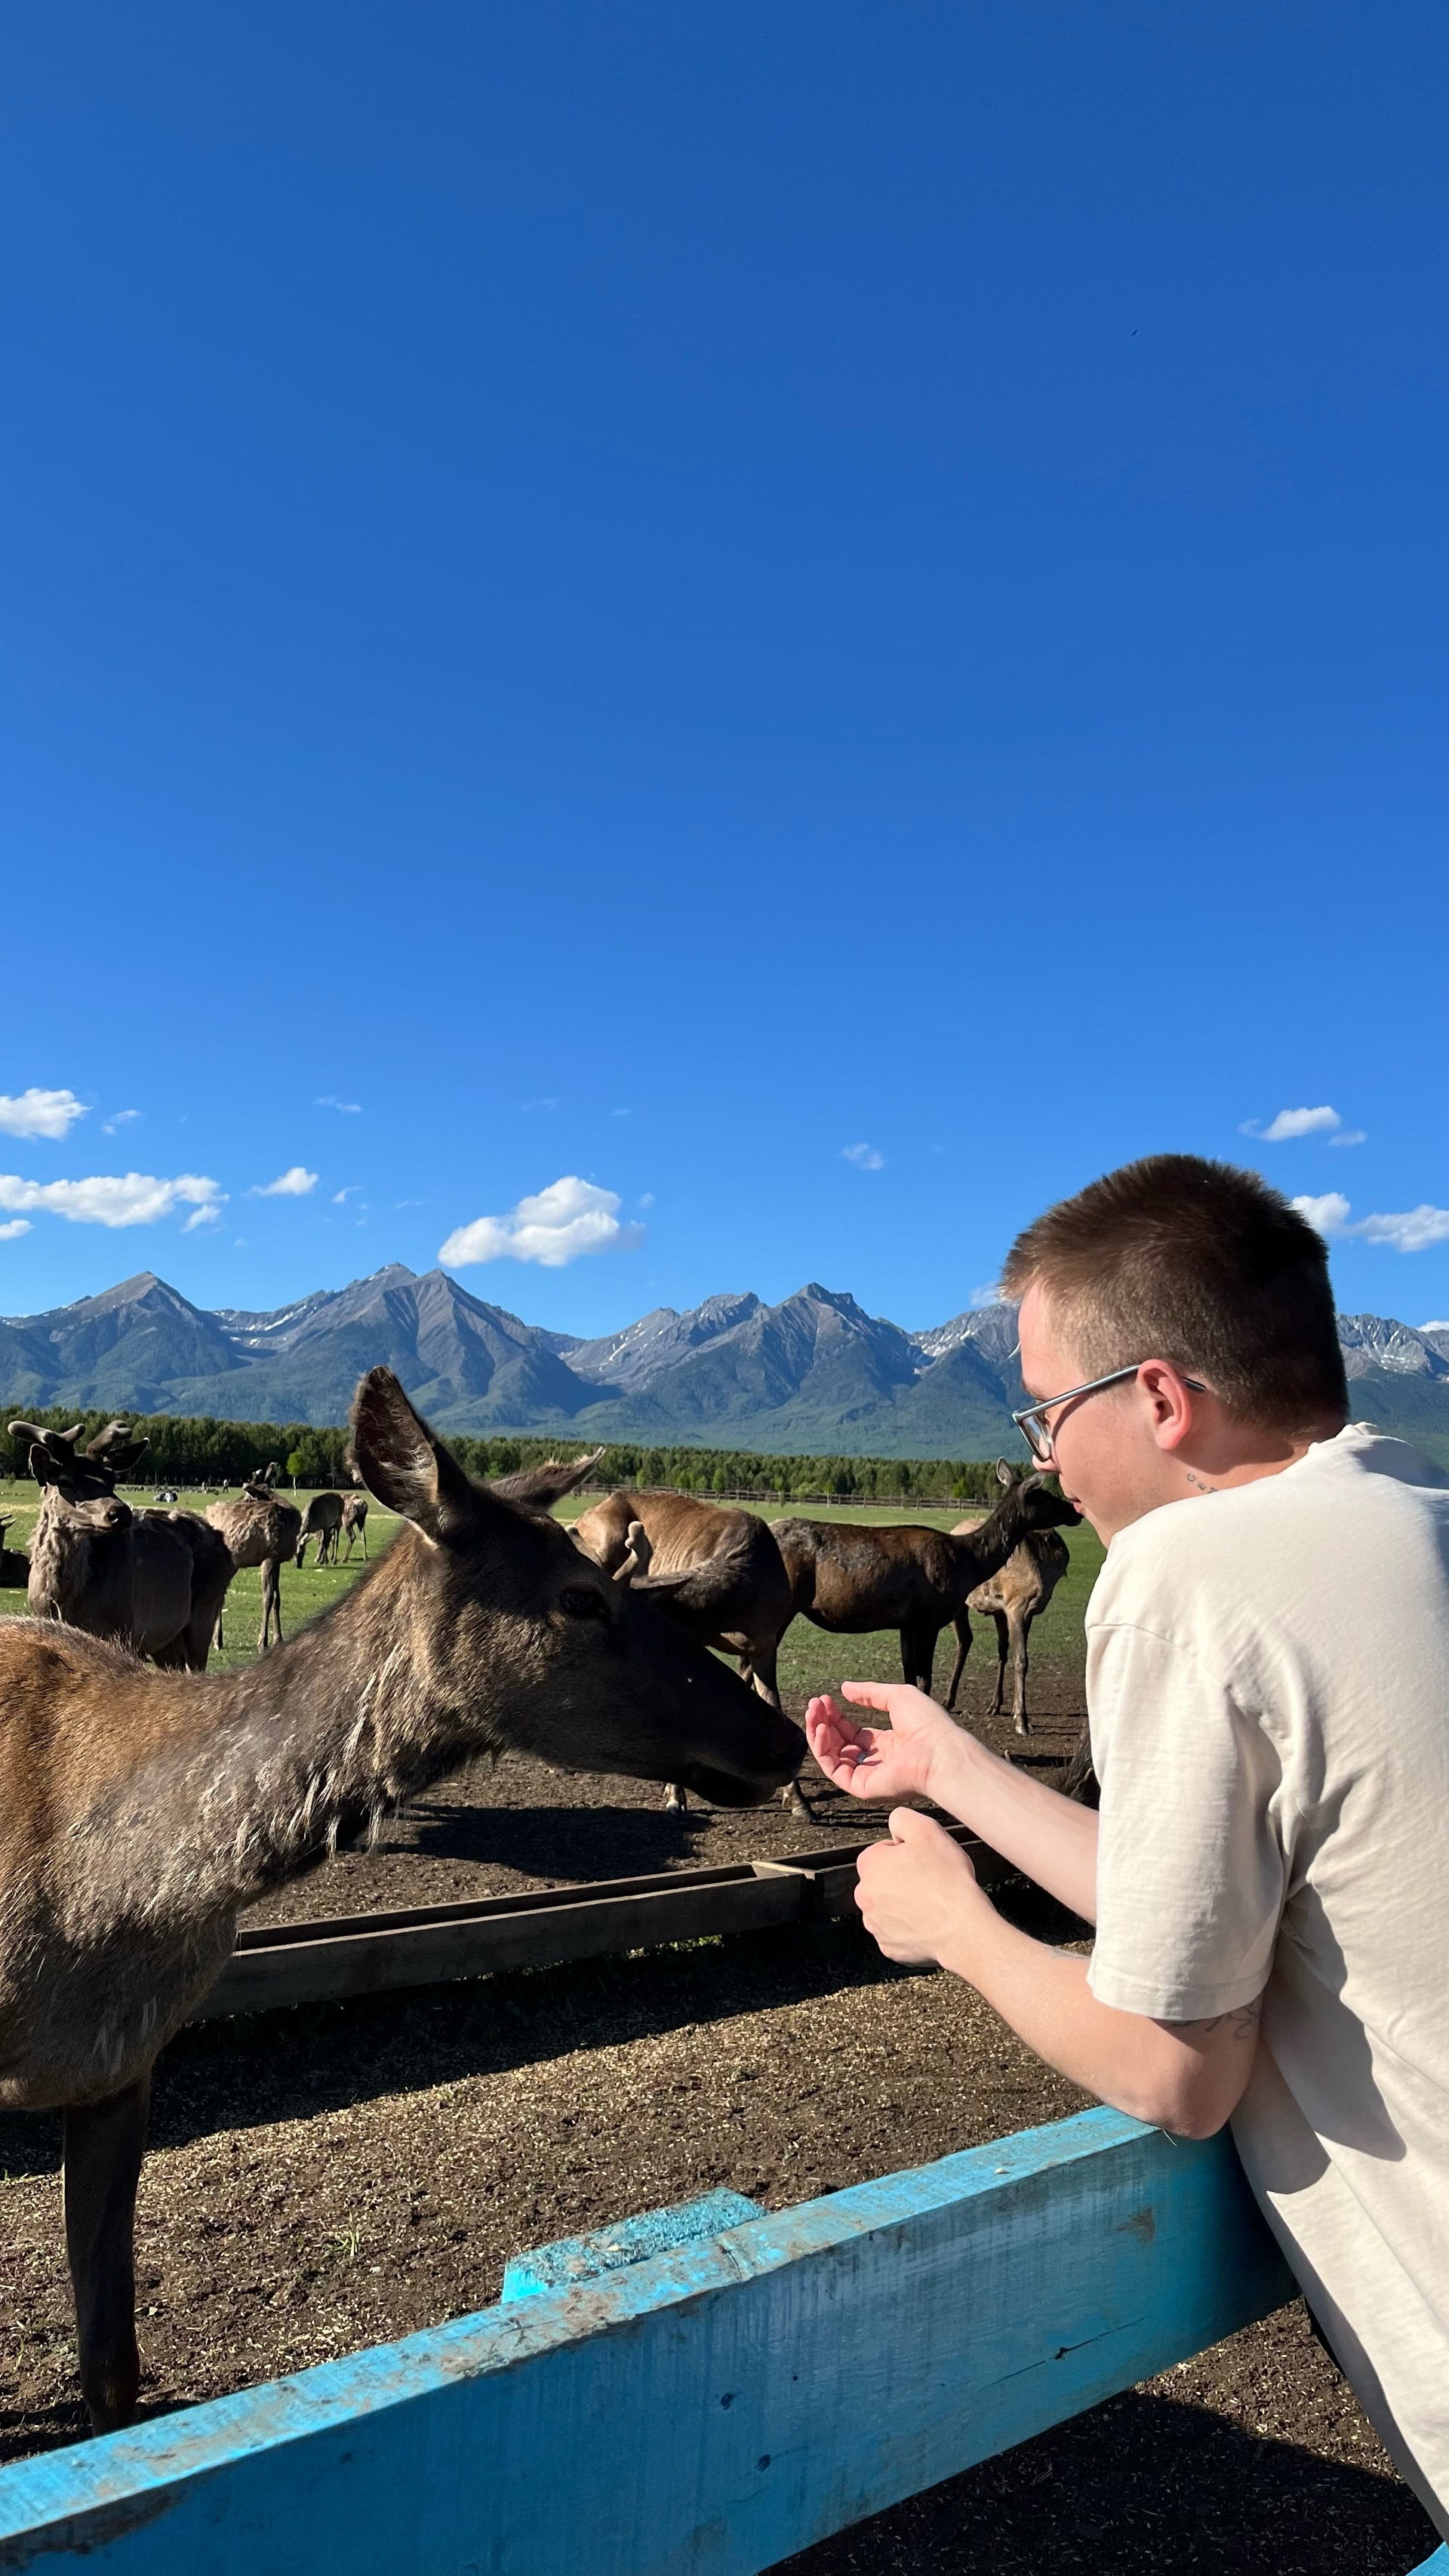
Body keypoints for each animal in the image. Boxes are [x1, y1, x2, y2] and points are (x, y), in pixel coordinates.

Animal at [11, 1421, 235, 1679]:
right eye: (64, 1481)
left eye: (111, 1479)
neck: (63, 1601)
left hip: (205, 1610)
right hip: (167, 1640)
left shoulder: (124, 1628)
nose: (119, 1512)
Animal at [777, 1483, 1081, 1700]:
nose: (1075, 1510)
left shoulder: (907, 1623)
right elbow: (925, 1679)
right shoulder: (928, 1619)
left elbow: (909, 1677)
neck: (969, 1563)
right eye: (1044, 1496)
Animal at [942, 1473, 1075, 1731]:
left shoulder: (1027, 1610)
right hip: (962, 1603)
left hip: (997, 1611)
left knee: (999, 1648)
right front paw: (1022, 1719)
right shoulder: (1017, 1606)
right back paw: (948, 1699)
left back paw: (995, 1704)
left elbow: (1014, 1655)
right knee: (964, 1639)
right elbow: (1022, 1660)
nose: (1075, 1510)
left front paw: (1013, 1709)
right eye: (1045, 1496)